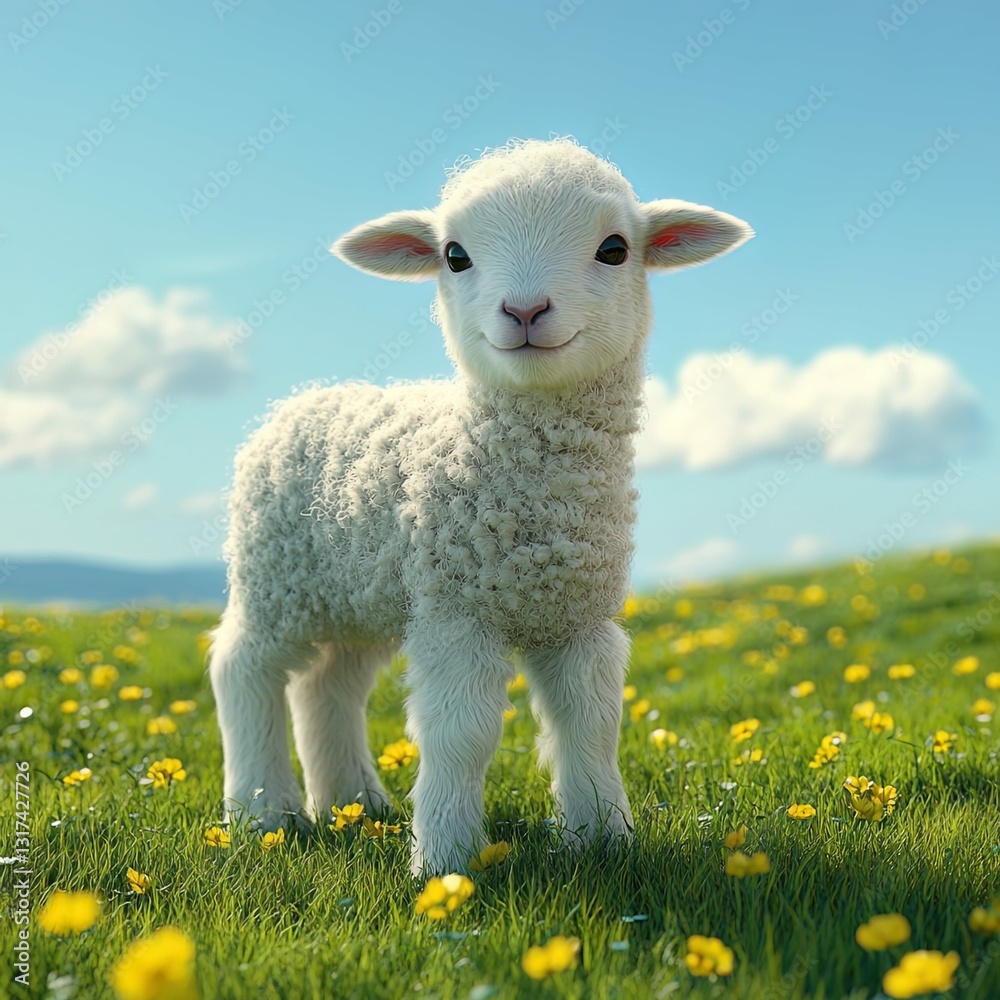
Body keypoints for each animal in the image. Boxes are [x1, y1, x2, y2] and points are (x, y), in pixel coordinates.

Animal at [209, 137, 753, 876]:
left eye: (615, 249)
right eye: (454, 255)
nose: (523, 311)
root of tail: (301, 397)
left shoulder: (579, 616)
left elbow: (591, 724)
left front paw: (604, 840)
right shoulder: (455, 613)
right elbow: (460, 734)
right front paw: (444, 861)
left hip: (359, 595)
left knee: (328, 686)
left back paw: (354, 803)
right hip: (275, 578)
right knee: (244, 669)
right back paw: (264, 814)